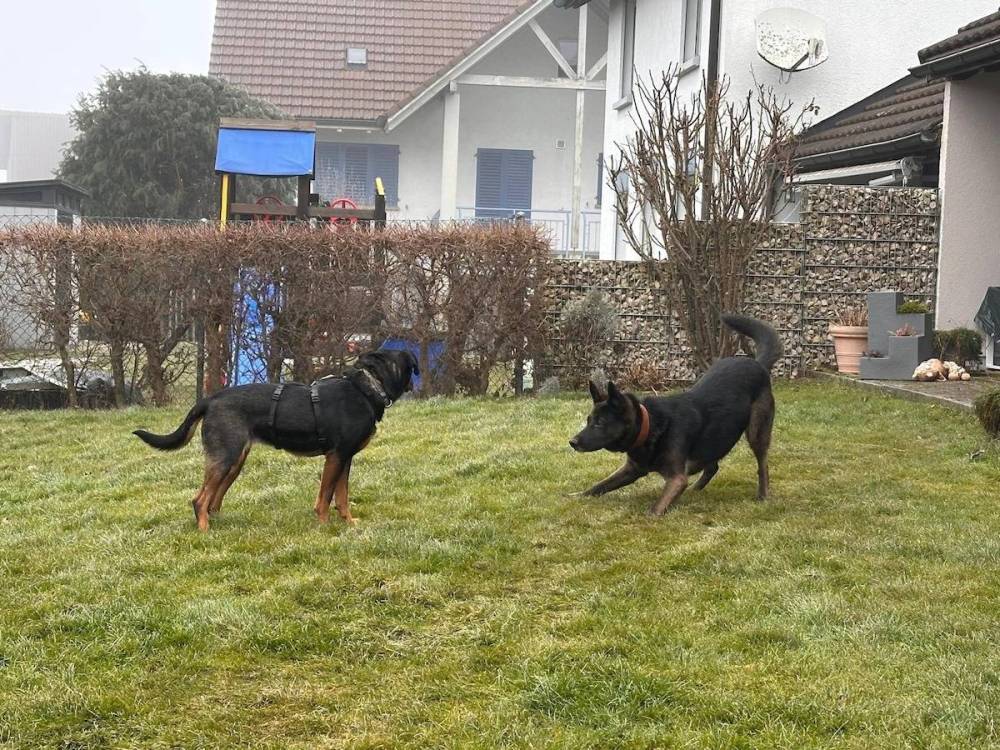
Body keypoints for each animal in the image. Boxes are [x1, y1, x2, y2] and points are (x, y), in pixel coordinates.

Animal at [133, 349, 419, 531]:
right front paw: (325, 527)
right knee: (200, 500)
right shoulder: (336, 456)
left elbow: (342, 496)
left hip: (235, 461)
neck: (367, 389)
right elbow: (325, 497)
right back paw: (205, 532)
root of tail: (209, 400)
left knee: (213, 501)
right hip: (225, 458)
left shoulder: (345, 458)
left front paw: (348, 524)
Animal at [568, 315, 782, 516]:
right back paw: (695, 490)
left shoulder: (677, 478)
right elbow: (599, 485)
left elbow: (657, 508)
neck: (651, 427)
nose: (572, 442)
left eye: (600, 423)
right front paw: (576, 496)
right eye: (588, 421)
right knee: (712, 466)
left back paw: (763, 495)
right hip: (714, 440)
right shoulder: (632, 469)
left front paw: (650, 517)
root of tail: (758, 364)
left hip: (756, 432)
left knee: (762, 465)